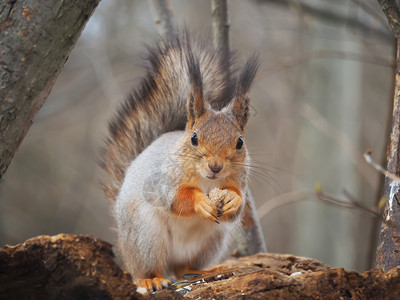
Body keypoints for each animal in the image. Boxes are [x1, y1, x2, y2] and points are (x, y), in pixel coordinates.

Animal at [101, 30, 260, 290]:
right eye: (194, 138)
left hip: (212, 241)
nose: (215, 167)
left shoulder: (239, 180)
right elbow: (176, 199)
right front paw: (200, 202)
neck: (208, 182)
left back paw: (208, 269)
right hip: (145, 236)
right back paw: (151, 279)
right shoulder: (164, 181)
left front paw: (232, 200)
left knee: (184, 267)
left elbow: (237, 207)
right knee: (146, 268)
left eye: (240, 142)